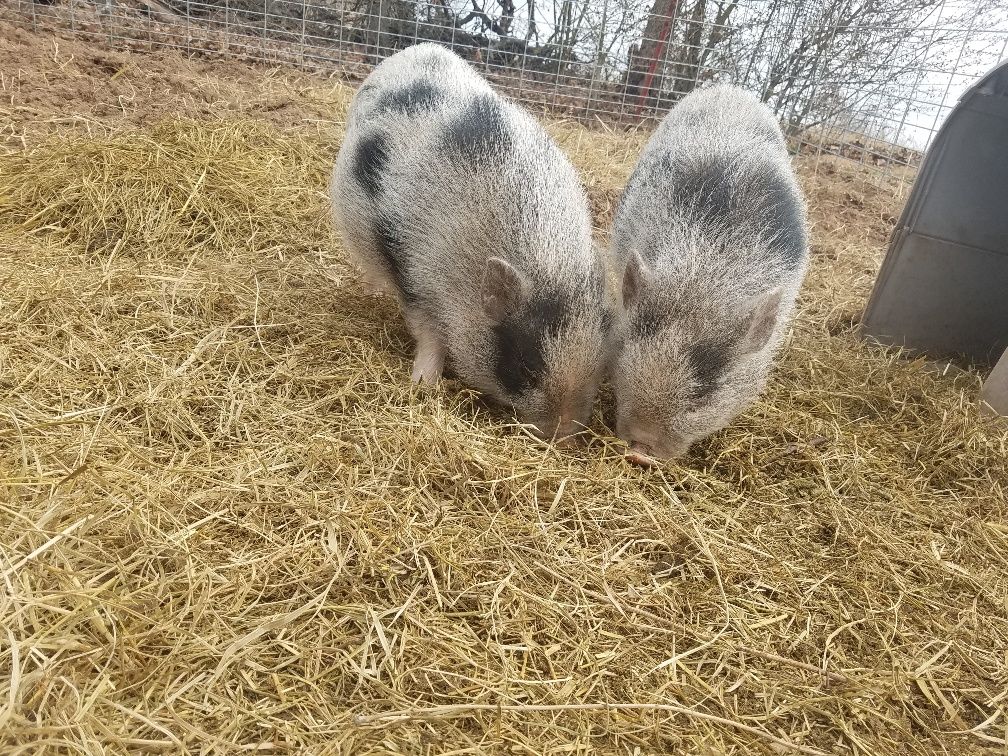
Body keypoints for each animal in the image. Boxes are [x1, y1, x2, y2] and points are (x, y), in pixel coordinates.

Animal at [330, 44, 615, 439]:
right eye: (526, 368)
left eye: (601, 366)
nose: (562, 437)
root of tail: (420, 48)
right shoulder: (411, 271)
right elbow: (428, 332)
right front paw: (423, 385)